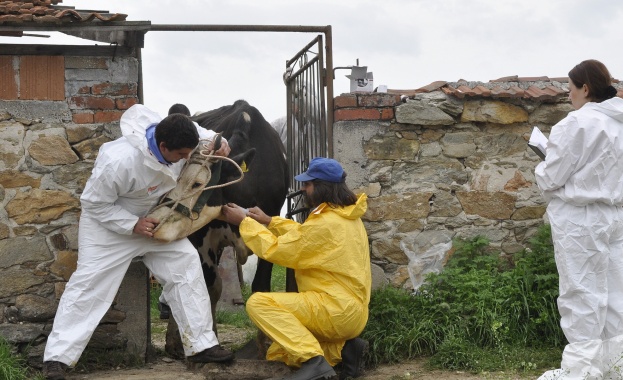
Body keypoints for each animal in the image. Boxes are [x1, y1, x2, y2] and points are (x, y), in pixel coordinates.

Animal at [156, 99, 292, 358]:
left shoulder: (269, 229)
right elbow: (209, 287)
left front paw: (265, 342)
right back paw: (176, 342)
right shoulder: (203, 238)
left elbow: (261, 285)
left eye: (197, 183)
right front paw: (211, 341)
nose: (163, 205)